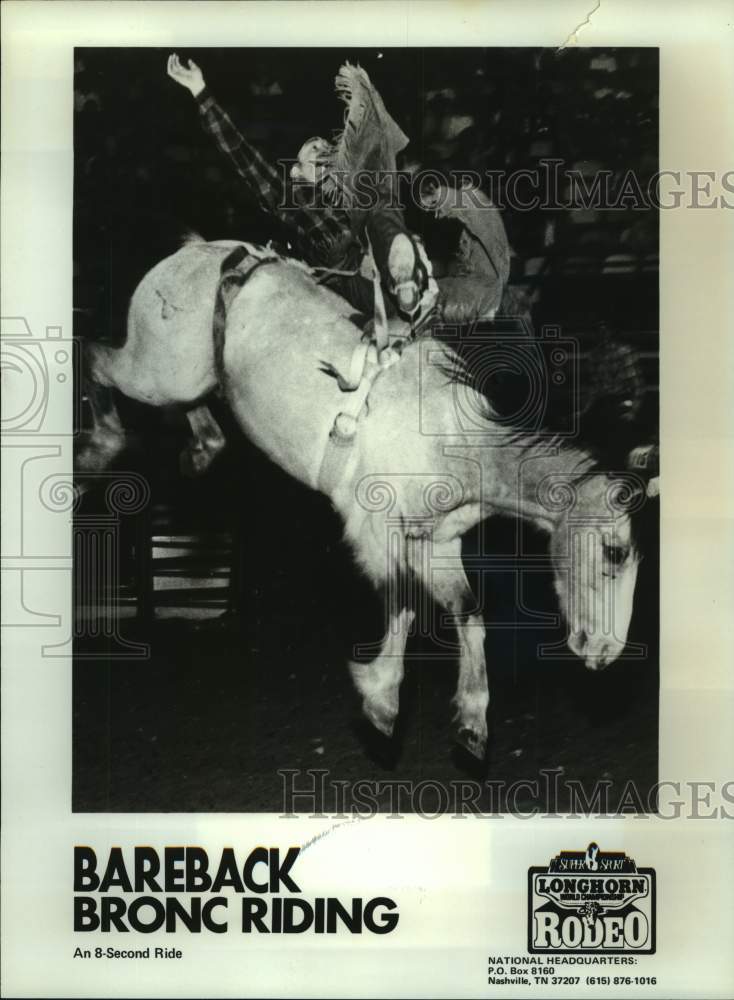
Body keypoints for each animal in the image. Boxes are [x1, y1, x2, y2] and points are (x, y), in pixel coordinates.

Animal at [79, 240, 660, 756]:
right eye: (613, 553)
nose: (606, 653)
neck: (455, 438)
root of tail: (197, 252)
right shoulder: (375, 531)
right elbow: (402, 606)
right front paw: (381, 700)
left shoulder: (434, 541)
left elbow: (467, 611)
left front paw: (472, 721)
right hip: (157, 372)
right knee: (96, 357)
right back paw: (98, 448)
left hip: (189, 379)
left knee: (193, 403)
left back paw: (201, 450)